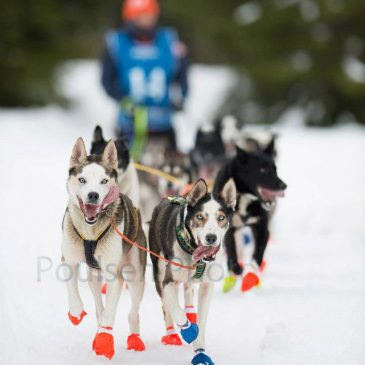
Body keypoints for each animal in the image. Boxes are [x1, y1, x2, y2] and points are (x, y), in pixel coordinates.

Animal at [60, 136, 145, 358]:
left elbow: (109, 315)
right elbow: (72, 291)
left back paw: (135, 339)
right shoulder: (69, 260)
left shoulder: (116, 276)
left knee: (132, 312)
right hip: (94, 277)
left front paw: (105, 339)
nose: (93, 195)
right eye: (82, 180)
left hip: (135, 276)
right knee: (99, 305)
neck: (90, 232)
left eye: (104, 181)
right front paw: (76, 312)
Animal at [212, 144, 286, 290]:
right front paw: (236, 270)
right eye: (263, 170)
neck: (244, 195)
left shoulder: (262, 229)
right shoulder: (229, 230)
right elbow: (232, 253)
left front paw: (250, 276)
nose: (283, 185)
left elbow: (257, 256)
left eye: (275, 169)